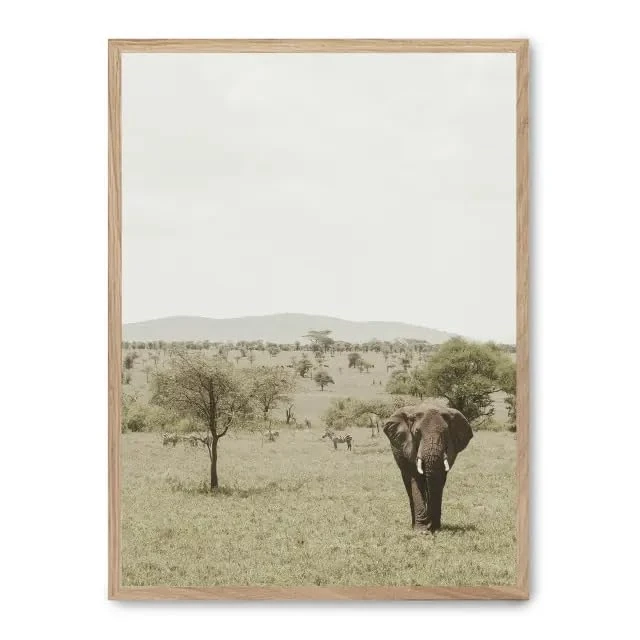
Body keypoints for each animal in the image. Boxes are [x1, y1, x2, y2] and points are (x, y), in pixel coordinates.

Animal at [383, 404, 473, 533]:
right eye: (417, 432)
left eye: (445, 433)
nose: (431, 527)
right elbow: (415, 480)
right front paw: (422, 530)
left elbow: (438, 480)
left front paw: (433, 528)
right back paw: (414, 525)